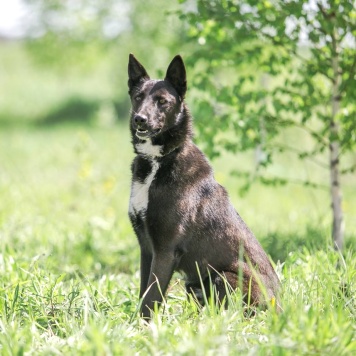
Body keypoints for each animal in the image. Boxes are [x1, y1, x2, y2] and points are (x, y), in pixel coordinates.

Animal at [126, 53, 280, 320]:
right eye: (138, 97)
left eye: (162, 101)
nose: (139, 119)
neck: (159, 161)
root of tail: (282, 306)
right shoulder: (146, 248)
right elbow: (143, 292)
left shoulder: (165, 250)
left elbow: (151, 298)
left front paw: (142, 327)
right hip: (194, 284)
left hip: (226, 275)